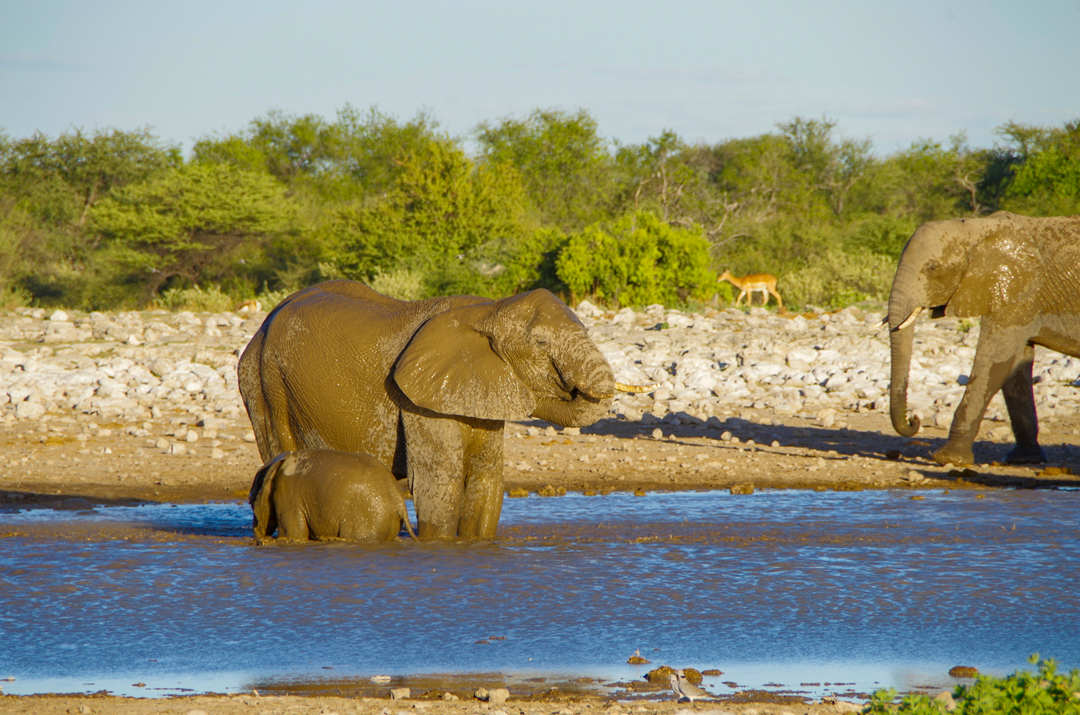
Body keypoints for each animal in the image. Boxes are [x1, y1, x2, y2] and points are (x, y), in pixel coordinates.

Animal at [885, 210, 1080, 468]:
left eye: (932, 268)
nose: (913, 419)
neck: (975, 229)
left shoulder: (1019, 290)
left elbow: (995, 360)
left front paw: (948, 459)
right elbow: (1015, 366)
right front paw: (1023, 460)